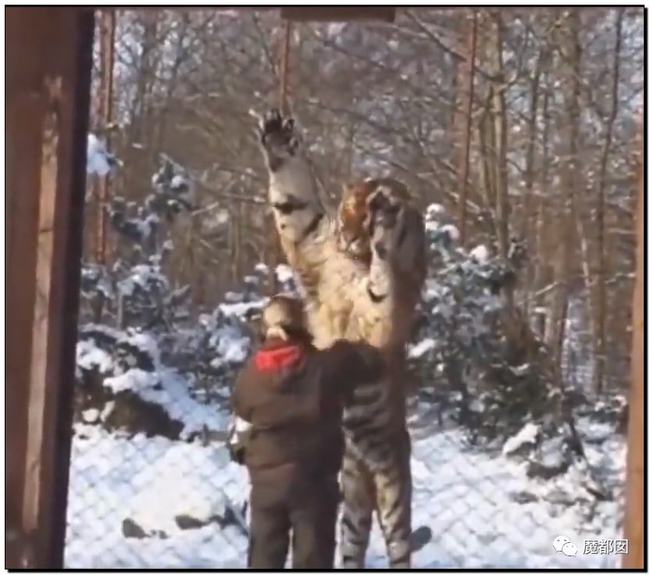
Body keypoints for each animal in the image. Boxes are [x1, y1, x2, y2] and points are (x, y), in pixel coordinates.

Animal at [256, 110, 428, 568]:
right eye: (347, 208)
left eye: (364, 217)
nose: (348, 235)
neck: (352, 259)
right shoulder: (307, 235)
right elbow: (293, 198)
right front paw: (278, 136)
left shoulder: (380, 319)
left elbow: (383, 285)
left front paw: (386, 228)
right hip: (350, 498)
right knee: (352, 549)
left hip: (393, 494)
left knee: (400, 550)